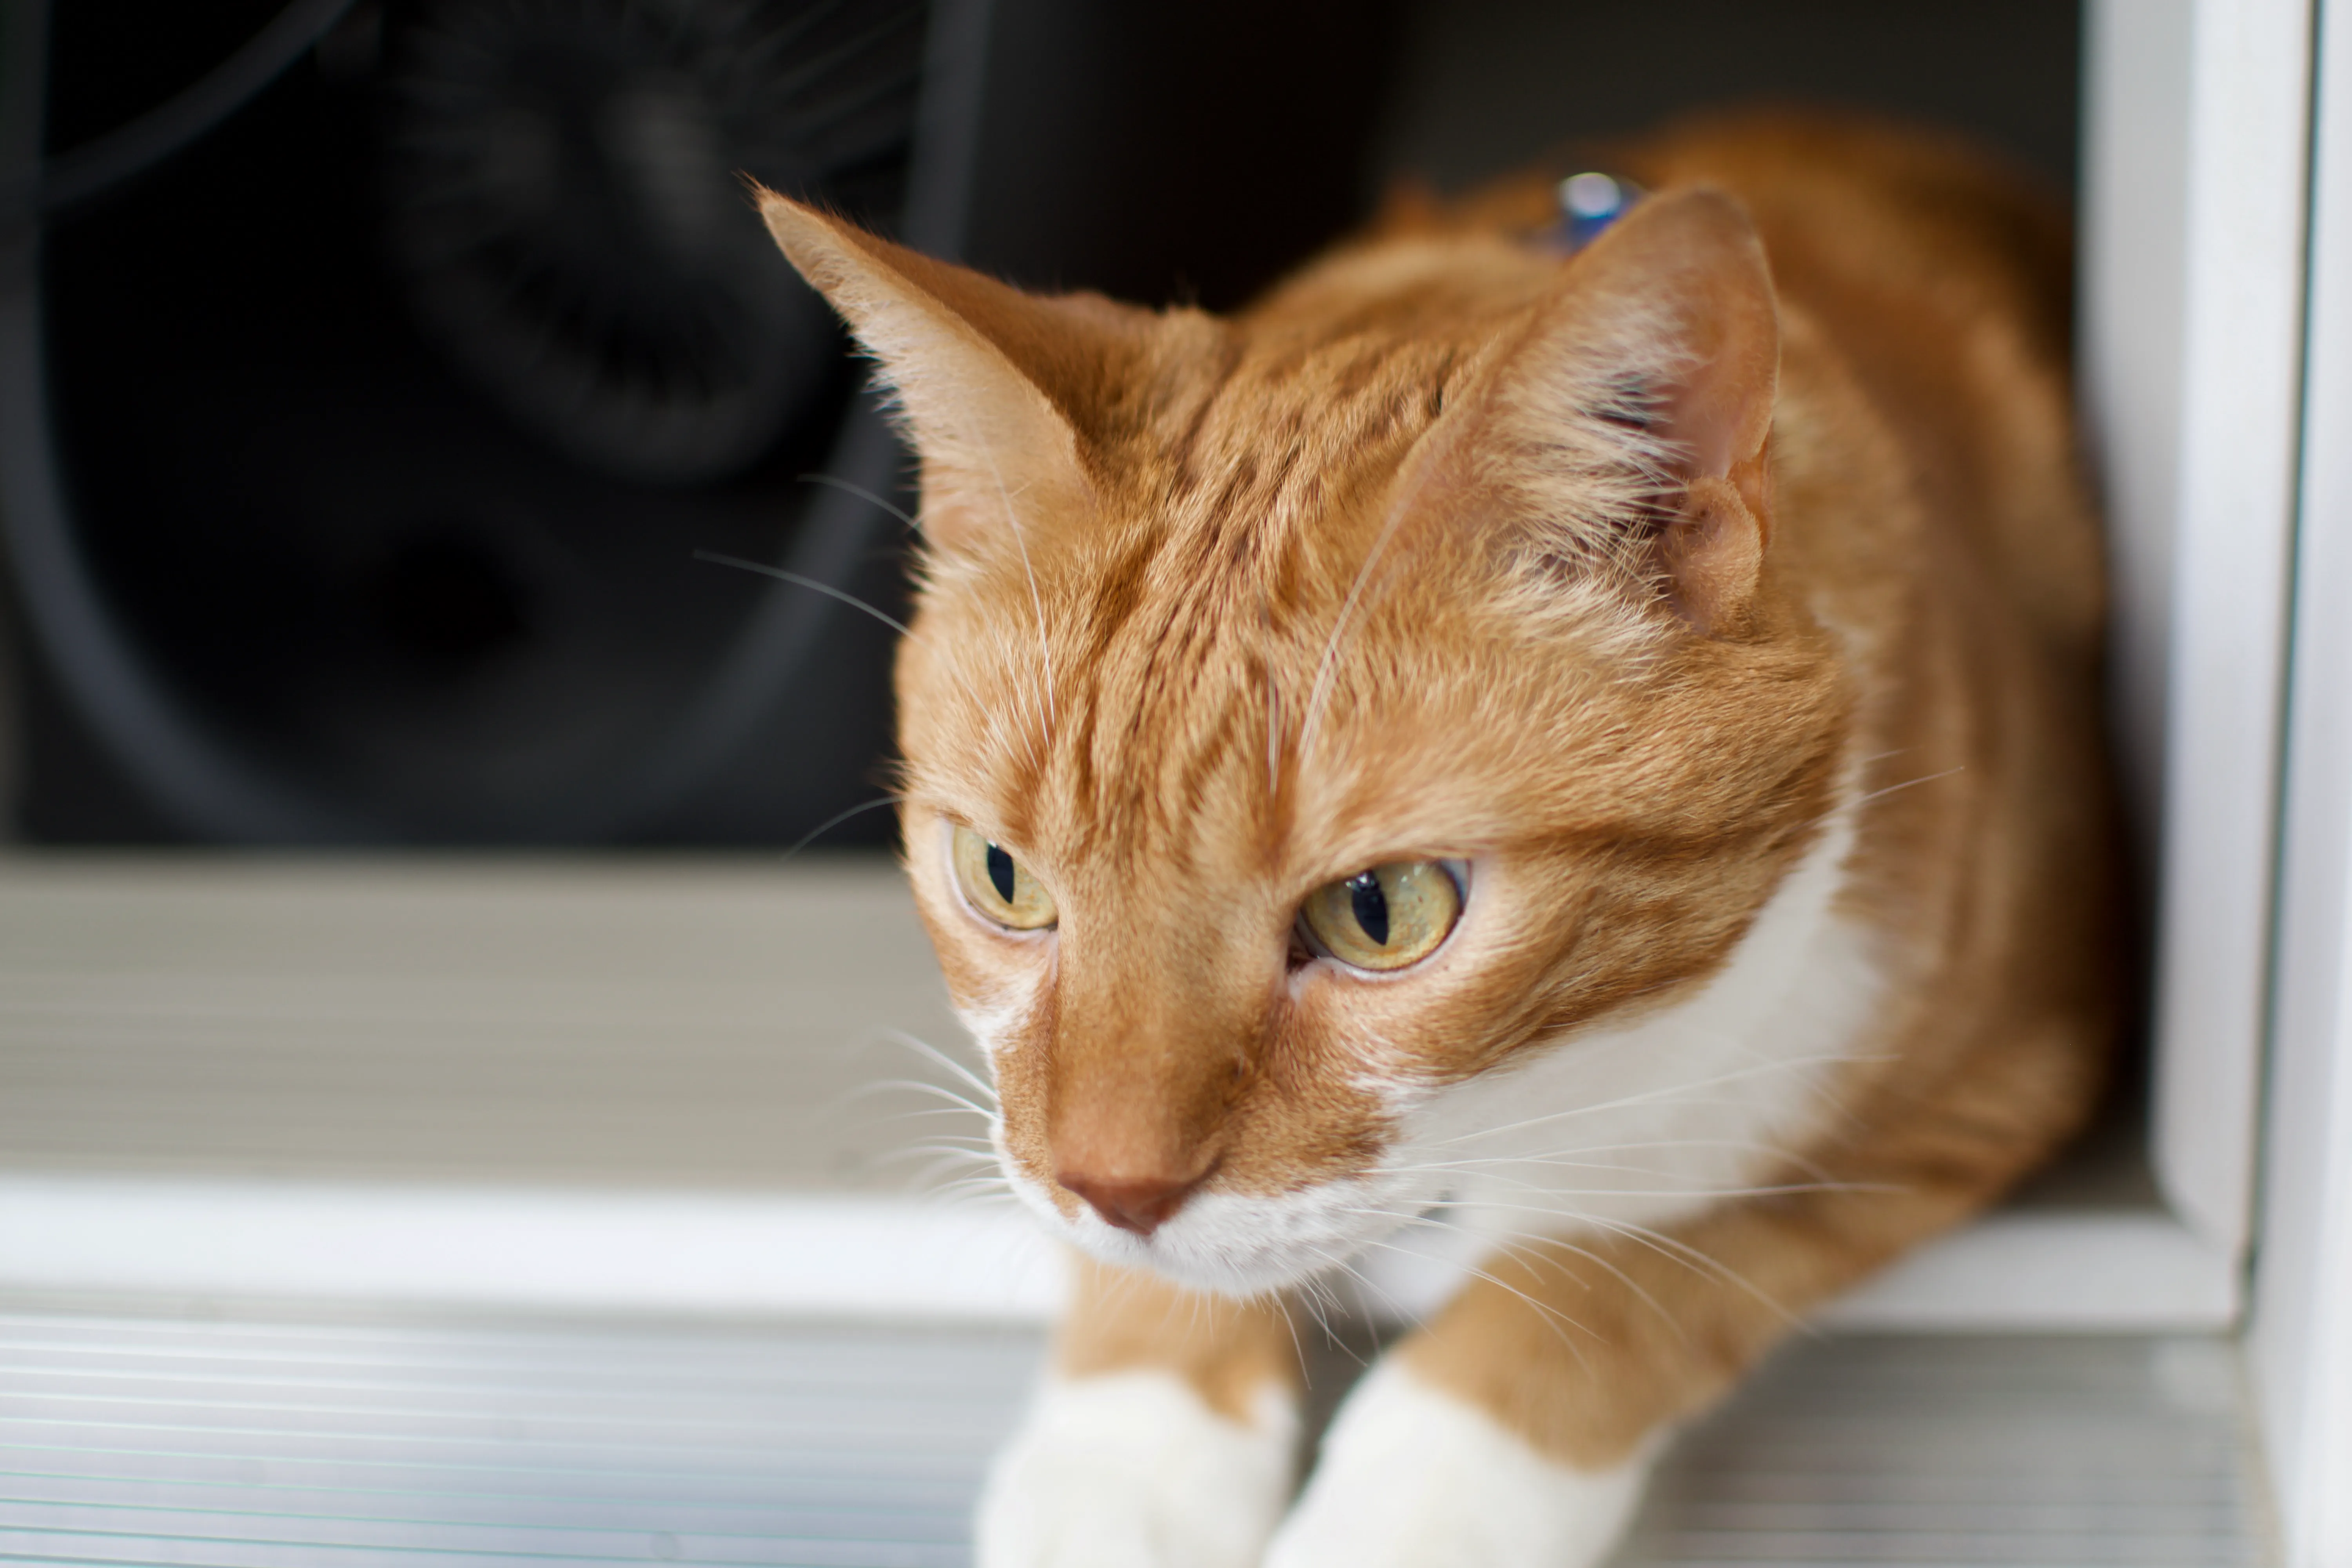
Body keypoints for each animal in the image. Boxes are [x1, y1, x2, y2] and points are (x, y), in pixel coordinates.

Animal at [767, 110, 2117, 1568]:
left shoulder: (1979, 1080)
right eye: (1003, 880)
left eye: (1382, 911)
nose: (1111, 1188)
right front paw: (1131, 1452)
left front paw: (1421, 1496)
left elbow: (1612, 1264)